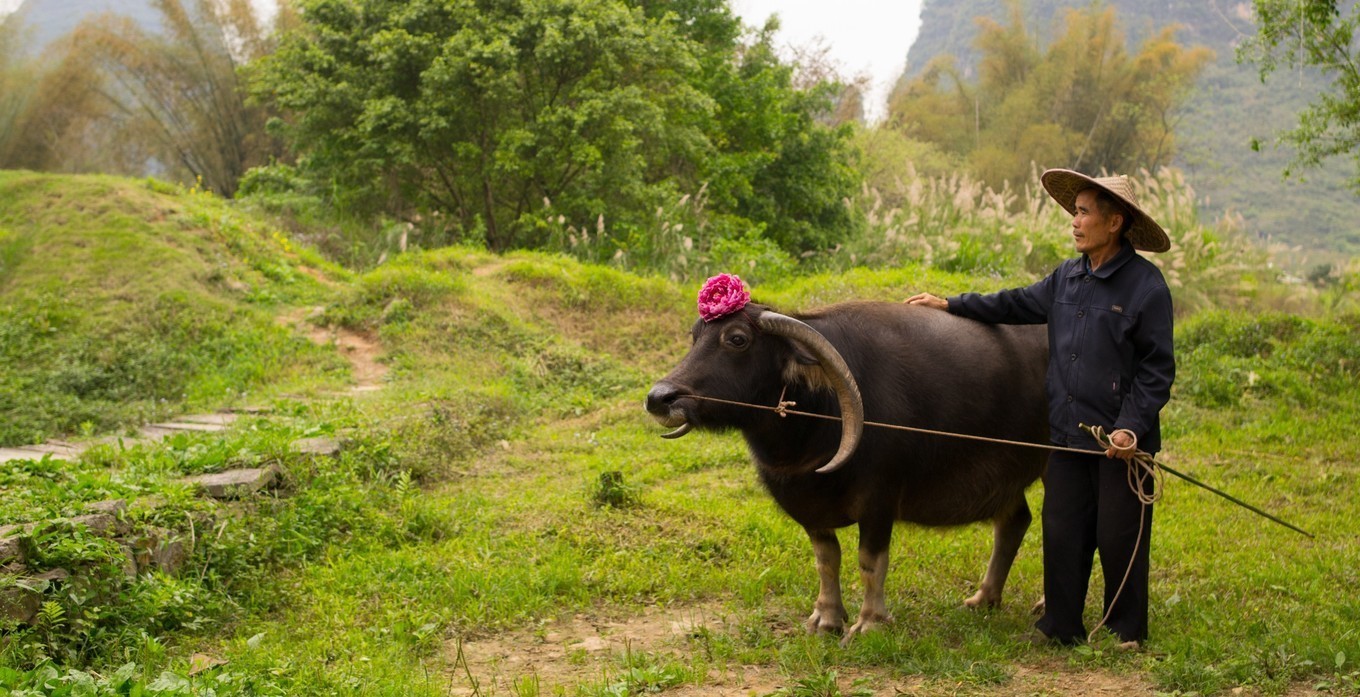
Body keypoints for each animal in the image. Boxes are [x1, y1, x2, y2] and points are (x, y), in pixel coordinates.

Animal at [641, 299, 1044, 642]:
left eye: (737, 339)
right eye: (695, 336)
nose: (660, 398)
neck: (820, 417)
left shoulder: (880, 501)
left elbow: (870, 562)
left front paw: (870, 623)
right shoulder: (808, 504)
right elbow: (826, 560)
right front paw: (827, 618)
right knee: (1014, 521)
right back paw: (985, 598)